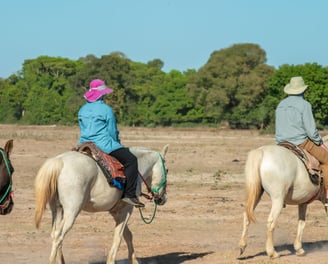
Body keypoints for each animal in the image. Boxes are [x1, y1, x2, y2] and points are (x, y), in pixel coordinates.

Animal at [35, 144, 169, 264]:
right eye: (167, 170)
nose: (163, 199)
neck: (139, 167)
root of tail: (59, 161)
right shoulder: (127, 209)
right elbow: (118, 237)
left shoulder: (116, 212)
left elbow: (127, 235)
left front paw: (134, 260)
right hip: (71, 211)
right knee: (59, 235)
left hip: (57, 209)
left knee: (55, 234)